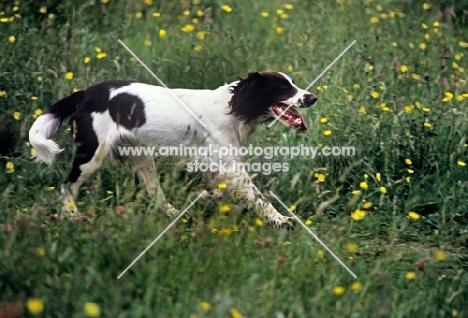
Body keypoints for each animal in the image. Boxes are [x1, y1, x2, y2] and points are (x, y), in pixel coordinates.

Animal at [29, 71, 318, 226]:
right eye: (283, 87)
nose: (313, 97)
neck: (233, 109)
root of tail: (84, 93)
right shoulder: (230, 168)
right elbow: (258, 198)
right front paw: (282, 221)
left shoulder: (214, 167)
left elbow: (215, 191)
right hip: (92, 155)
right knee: (67, 187)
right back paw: (72, 216)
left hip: (141, 157)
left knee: (155, 192)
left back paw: (175, 215)